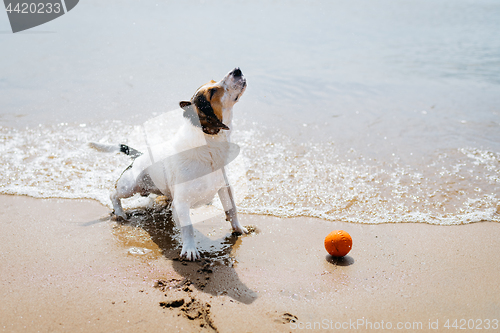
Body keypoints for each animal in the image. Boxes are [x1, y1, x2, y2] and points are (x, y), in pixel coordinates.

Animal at [90, 67, 248, 260]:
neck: (209, 147)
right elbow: (188, 227)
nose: (237, 69)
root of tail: (138, 156)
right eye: (212, 91)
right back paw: (120, 213)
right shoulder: (182, 202)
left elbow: (232, 210)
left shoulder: (225, 187)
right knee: (113, 194)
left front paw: (238, 228)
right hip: (130, 186)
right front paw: (190, 249)